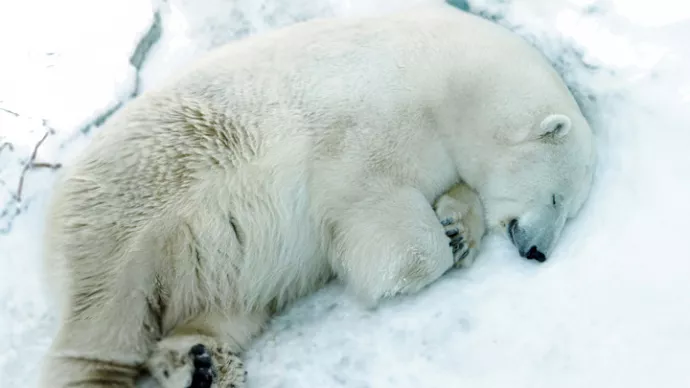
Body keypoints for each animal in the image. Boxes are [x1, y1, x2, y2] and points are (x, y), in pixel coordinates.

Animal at [40, 3, 592, 388]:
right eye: (560, 199)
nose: (539, 252)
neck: (449, 76)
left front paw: (458, 230)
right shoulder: (368, 119)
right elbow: (375, 208)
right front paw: (417, 260)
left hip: (211, 265)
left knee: (223, 307)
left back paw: (201, 362)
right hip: (137, 200)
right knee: (106, 314)